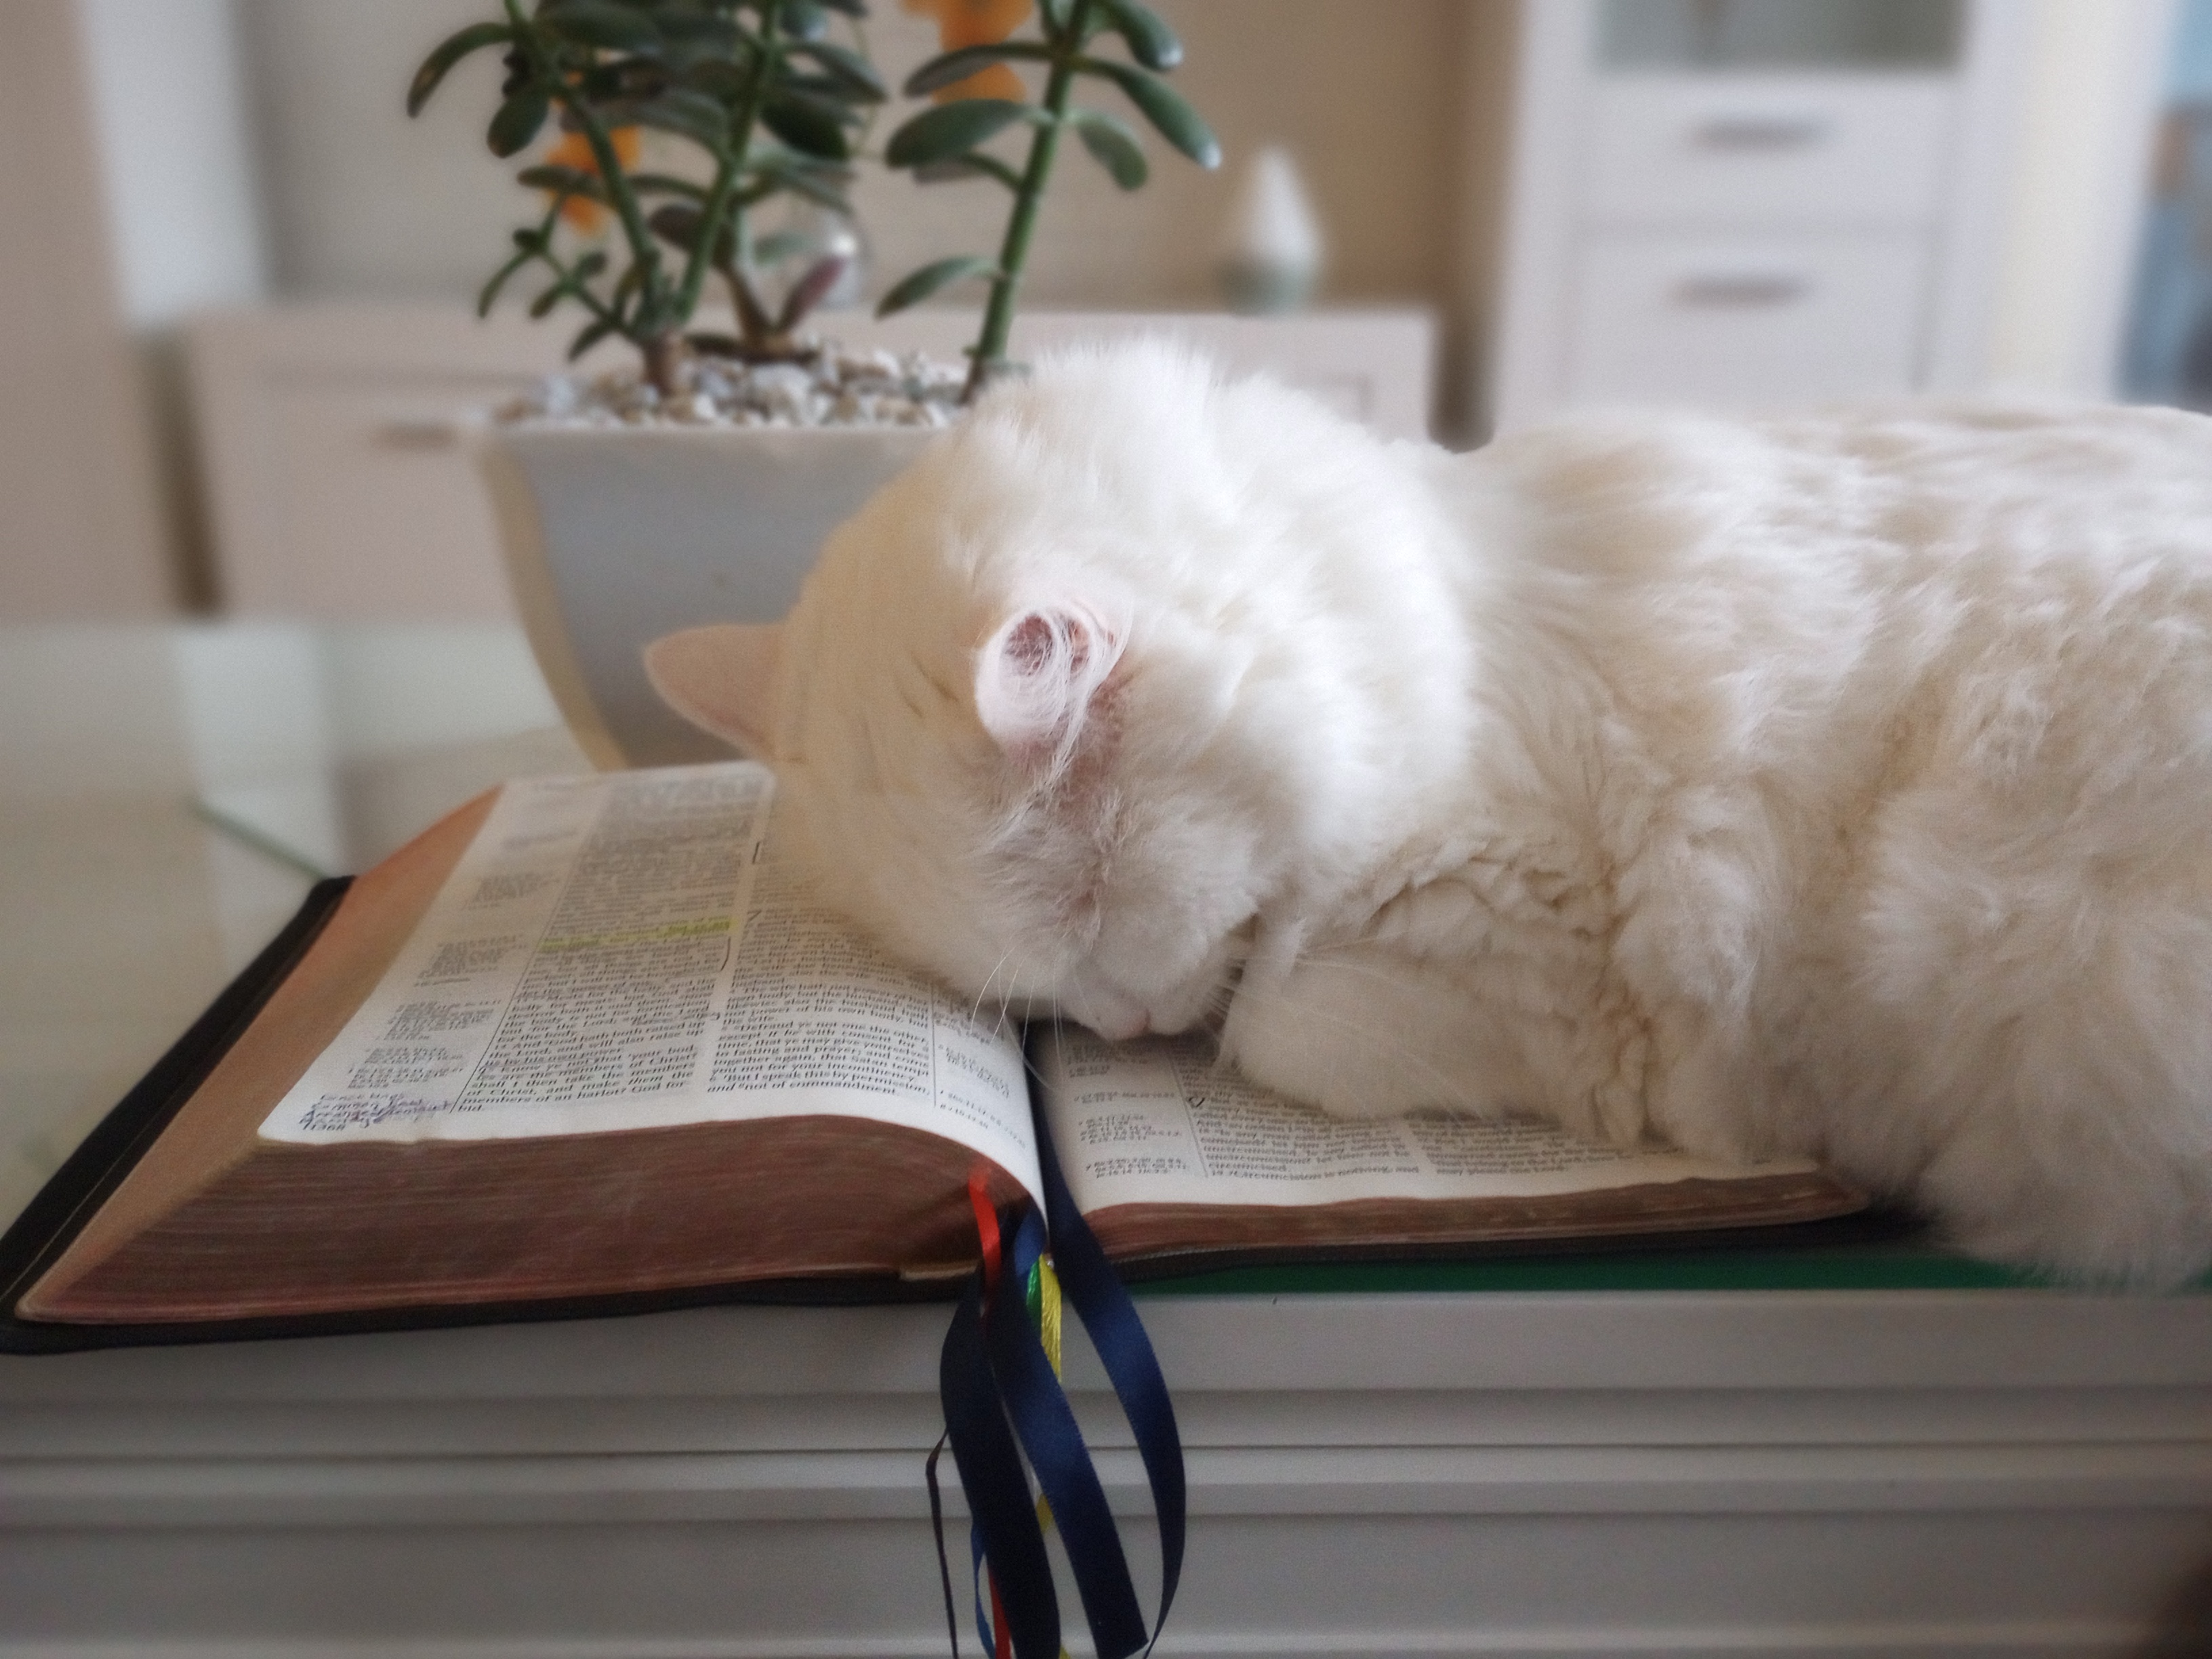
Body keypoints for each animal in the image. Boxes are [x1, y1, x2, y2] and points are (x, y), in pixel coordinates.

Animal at [646, 342, 2212, 1286]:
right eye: (1022, 986)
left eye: (1090, 894)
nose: (1122, 1032)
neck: (1434, 632)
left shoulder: (1553, 953)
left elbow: (1278, 1017)